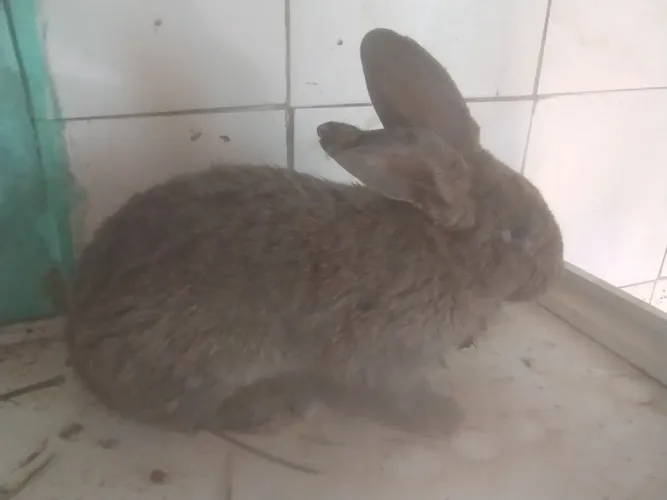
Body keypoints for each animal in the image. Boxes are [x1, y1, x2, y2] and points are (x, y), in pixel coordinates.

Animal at [66, 28, 563, 446]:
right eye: (517, 233)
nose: (554, 273)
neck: (447, 256)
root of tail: (82, 350)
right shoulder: (389, 356)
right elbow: (395, 397)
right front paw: (442, 419)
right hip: (213, 358)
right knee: (192, 415)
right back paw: (278, 407)